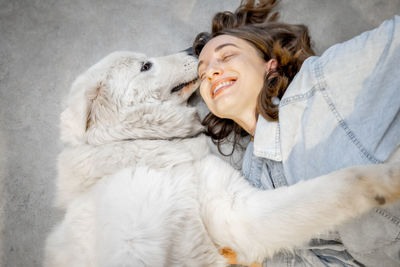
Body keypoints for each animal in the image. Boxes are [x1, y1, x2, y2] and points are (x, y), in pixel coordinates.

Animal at [45, 51, 400, 266]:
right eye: (145, 66)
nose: (194, 52)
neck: (143, 144)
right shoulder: (132, 239)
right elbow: (340, 181)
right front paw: (389, 176)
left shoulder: (233, 208)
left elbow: (326, 190)